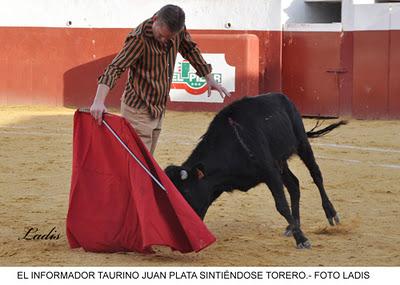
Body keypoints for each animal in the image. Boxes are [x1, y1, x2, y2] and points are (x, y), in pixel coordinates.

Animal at [166, 92, 346, 247]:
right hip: (280, 161)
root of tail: (282, 96)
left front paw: (302, 240)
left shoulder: (269, 172)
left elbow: (281, 205)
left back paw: (331, 213)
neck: (233, 142)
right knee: (294, 184)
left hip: (301, 143)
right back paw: (293, 226)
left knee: (316, 175)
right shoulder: (219, 183)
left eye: (186, 192)